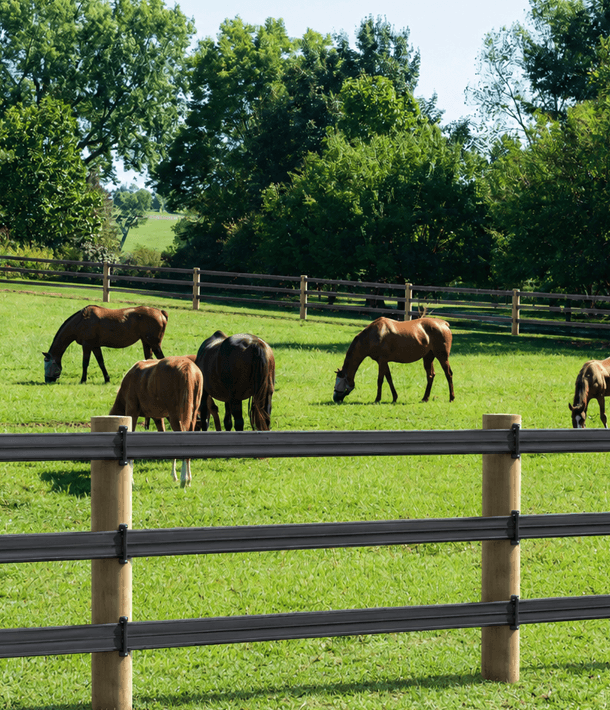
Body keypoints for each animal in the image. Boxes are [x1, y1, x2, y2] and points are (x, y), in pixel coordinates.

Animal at [109, 356, 203, 487]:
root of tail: (187, 367)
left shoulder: (132, 411)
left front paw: (131, 480)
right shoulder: (158, 418)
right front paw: (173, 475)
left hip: (175, 417)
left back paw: (184, 479)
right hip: (192, 415)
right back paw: (188, 479)